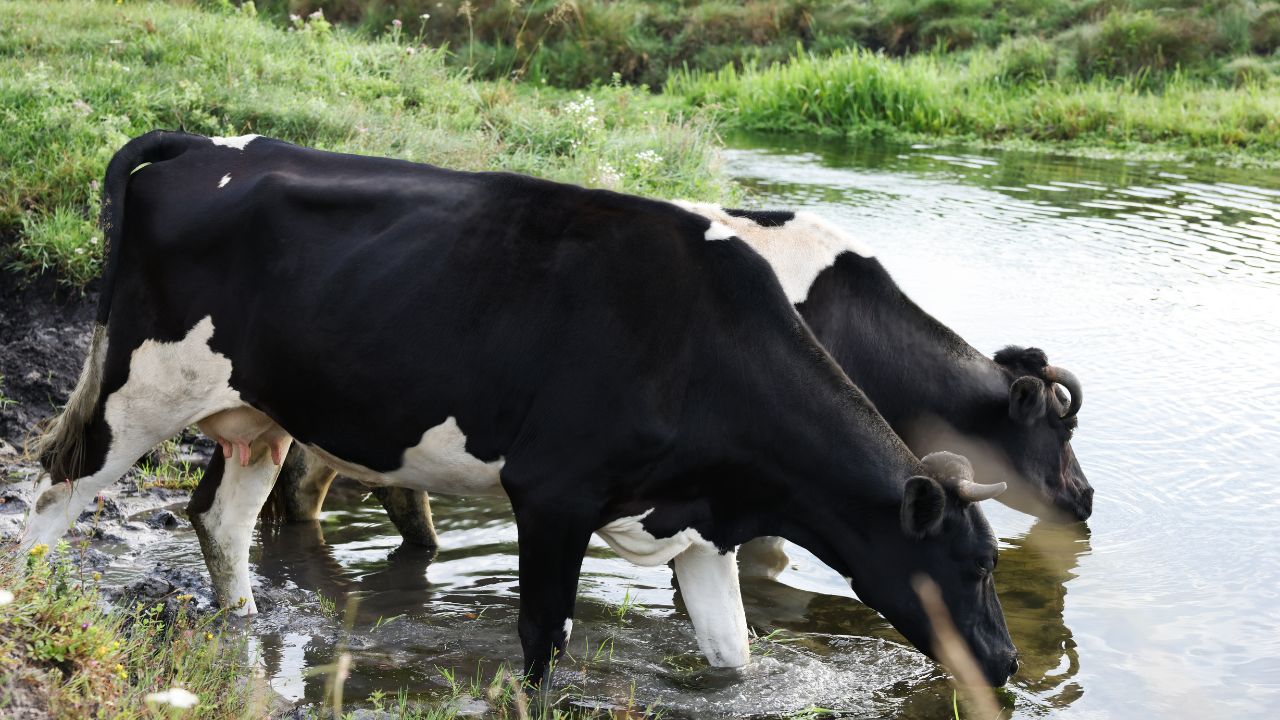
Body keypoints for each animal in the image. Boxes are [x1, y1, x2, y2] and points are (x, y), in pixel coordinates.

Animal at [21, 130, 1018, 686]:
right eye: (972, 566)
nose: (1008, 663)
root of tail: (210, 146)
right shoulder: (554, 494)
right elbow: (544, 641)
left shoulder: (699, 528)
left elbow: (733, 659)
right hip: (139, 388)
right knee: (53, 495)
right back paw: (27, 602)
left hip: (257, 413)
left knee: (222, 522)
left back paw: (242, 626)